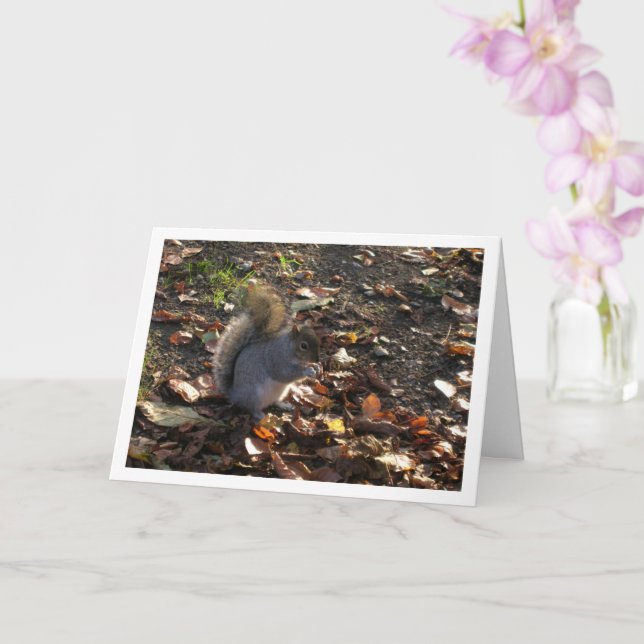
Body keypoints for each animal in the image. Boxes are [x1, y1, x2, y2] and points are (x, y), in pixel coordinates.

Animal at [212, 284, 321, 421]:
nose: (317, 360)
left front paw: (316, 367)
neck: (288, 348)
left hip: (280, 392)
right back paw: (261, 415)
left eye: (318, 339)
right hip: (255, 395)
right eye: (303, 346)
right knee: (251, 408)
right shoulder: (277, 360)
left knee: (274, 401)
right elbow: (286, 374)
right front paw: (308, 370)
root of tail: (235, 395)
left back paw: (284, 405)